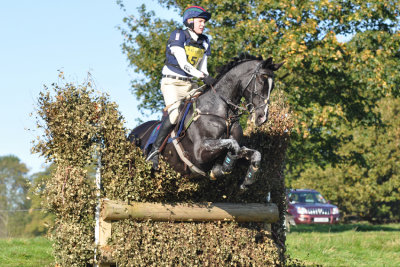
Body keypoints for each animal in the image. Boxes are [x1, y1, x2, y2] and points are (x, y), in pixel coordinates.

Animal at [130, 53, 282, 189]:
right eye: (261, 80)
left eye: (273, 86)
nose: (262, 117)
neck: (223, 113)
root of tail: (133, 132)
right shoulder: (200, 152)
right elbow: (232, 145)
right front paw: (223, 167)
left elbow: (254, 153)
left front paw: (247, 181)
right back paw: (153, 156)